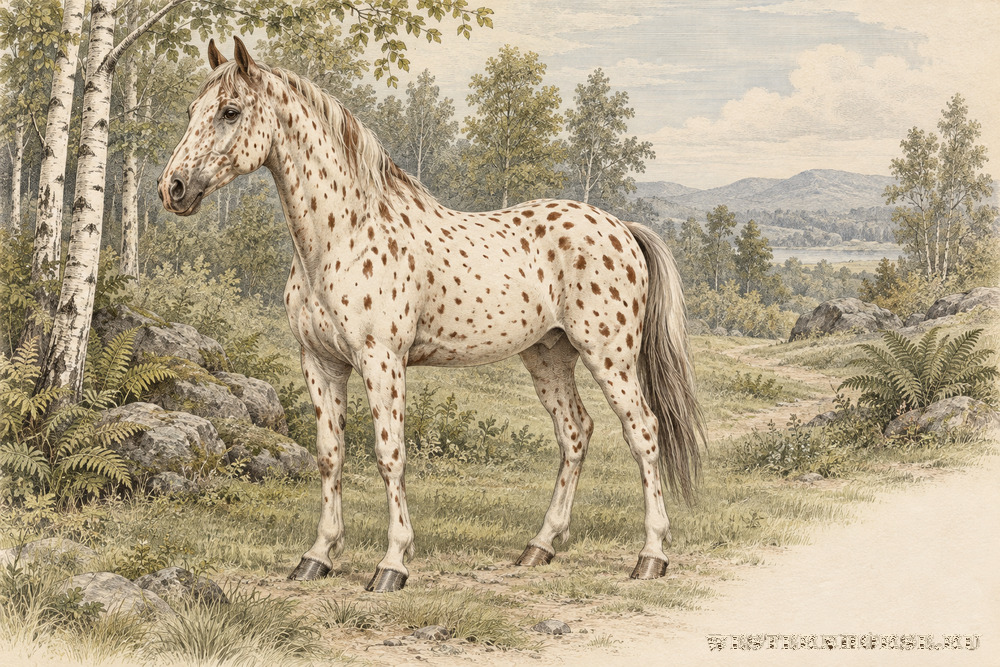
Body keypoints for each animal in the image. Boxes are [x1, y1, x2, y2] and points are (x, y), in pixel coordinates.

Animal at [159, 36, 704, 592]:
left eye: (230, 111)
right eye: (191, 110)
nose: (173, 188)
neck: (342, 238)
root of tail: (620, 227)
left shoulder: (382, 361)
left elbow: (389, 456)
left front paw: (392, 564)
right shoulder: (320, 362)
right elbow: (330, 456)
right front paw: (318, 556)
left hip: (609, 356)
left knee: (643, 433)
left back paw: (651, 556)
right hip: (548, 356)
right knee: (575, 434)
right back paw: (540, 547)